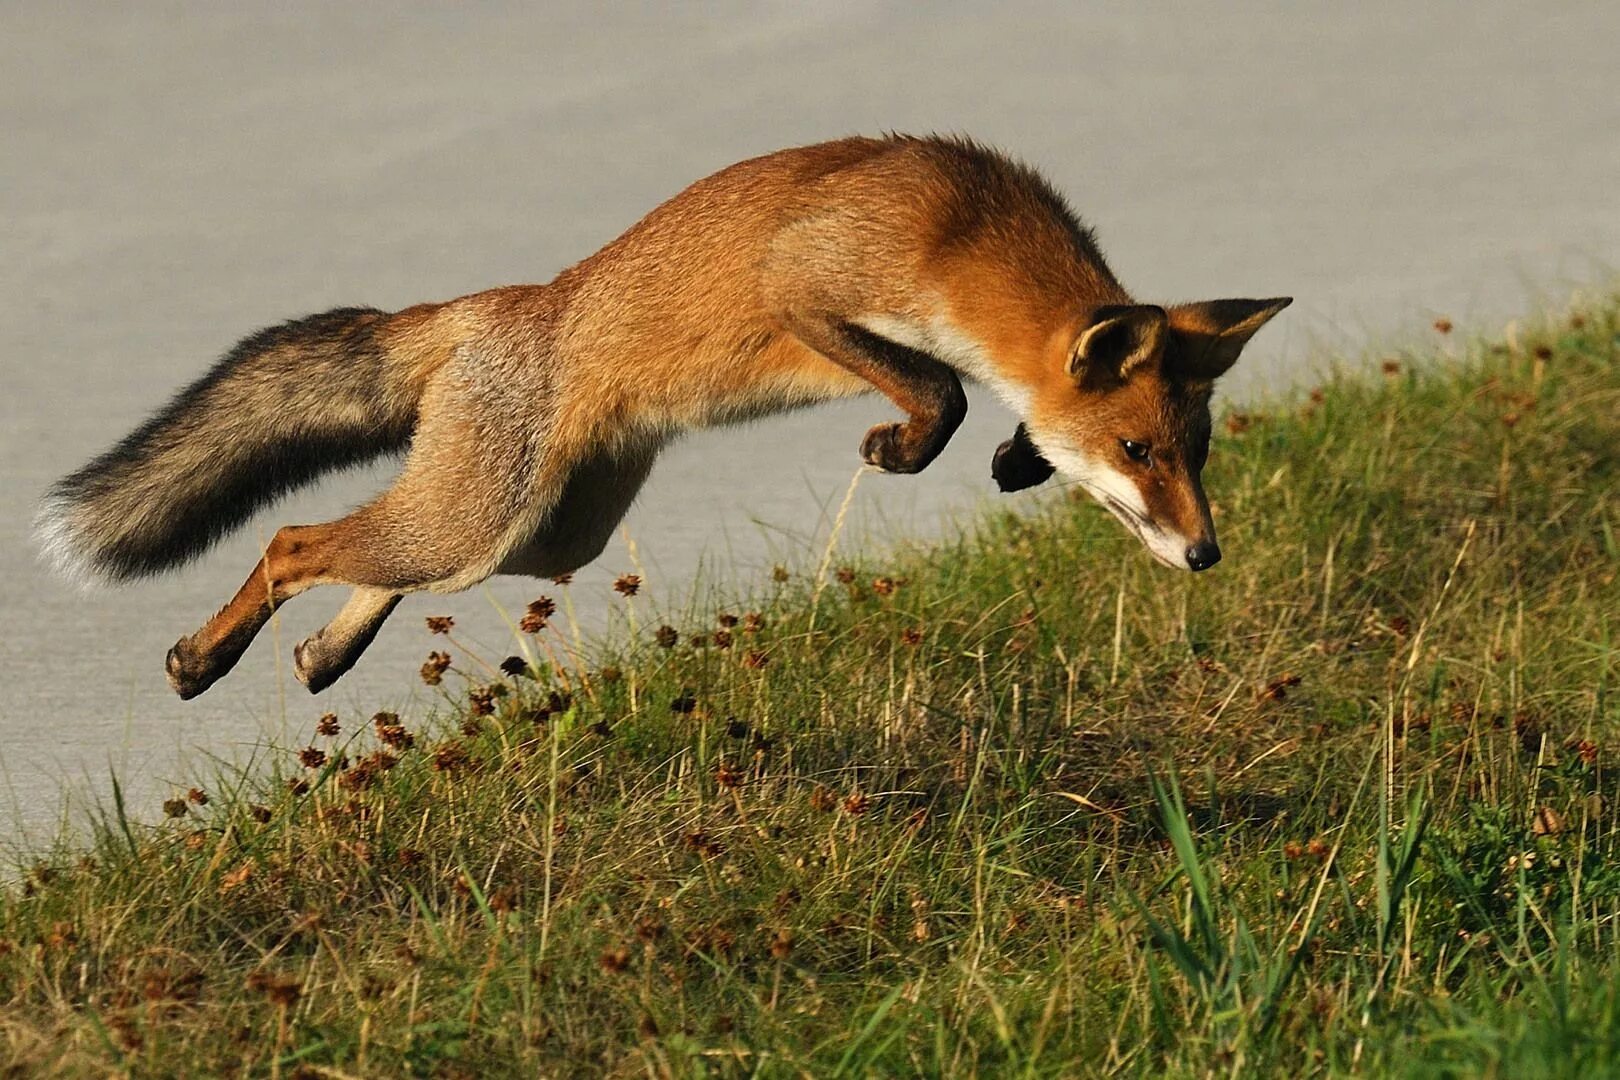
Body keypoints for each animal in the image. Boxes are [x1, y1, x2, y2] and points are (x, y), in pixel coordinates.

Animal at [38, 135, 1289, 696]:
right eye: (1136, 449)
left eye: (1194, 451)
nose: (1207, 553)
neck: (962, 237)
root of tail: (509, 304)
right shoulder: (803, 289)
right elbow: (938, 387)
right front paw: (914, 447)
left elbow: (981, 395)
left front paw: (1017, 461)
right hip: (481, 524)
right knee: (294, 540)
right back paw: (206, 657)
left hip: (543, 537)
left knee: (361, 562)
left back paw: (319, 654)